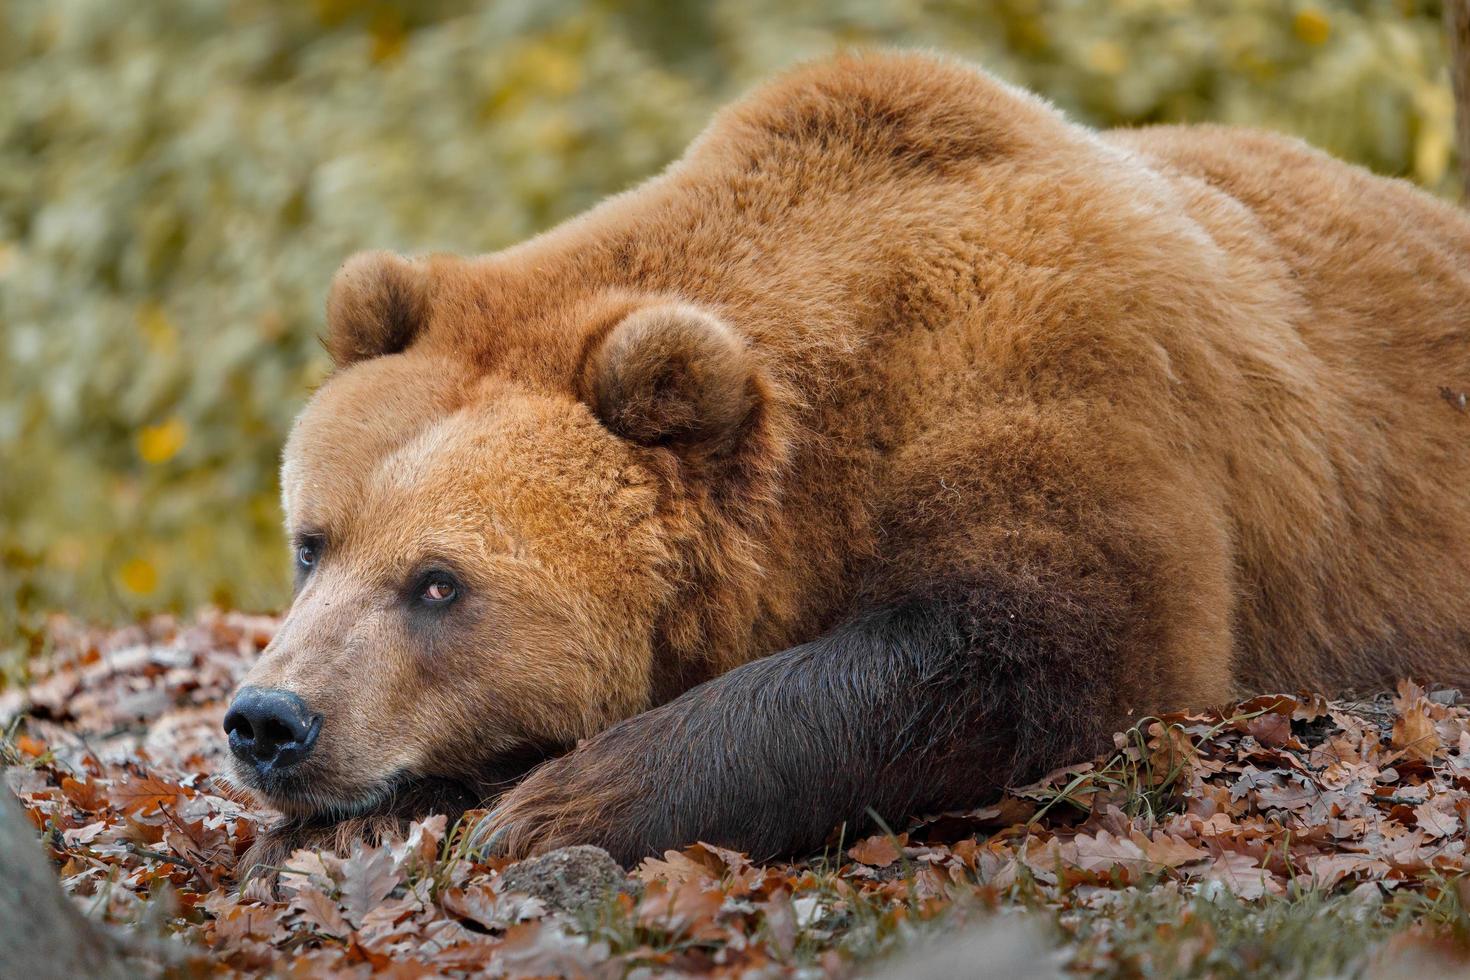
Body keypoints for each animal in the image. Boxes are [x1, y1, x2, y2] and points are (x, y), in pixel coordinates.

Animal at [220, 51, 1470, 875]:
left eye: (439, 582)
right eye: (311, 543)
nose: (270, 718)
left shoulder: (1055, 372)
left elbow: (1043, 644)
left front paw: (557, 804)